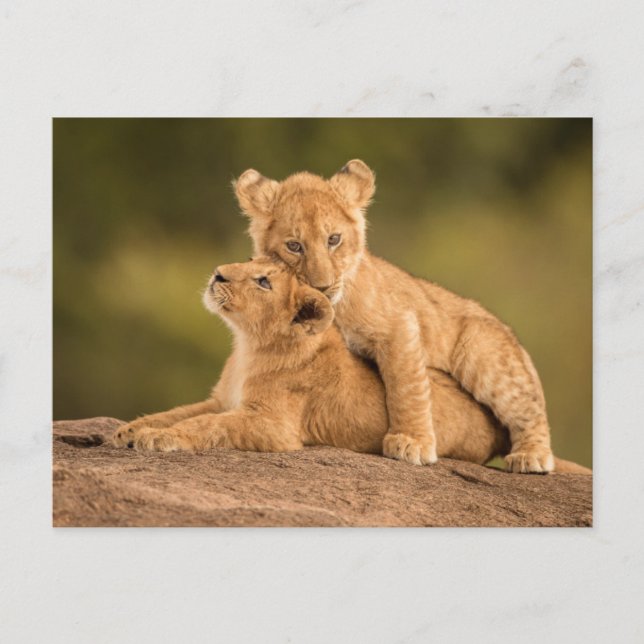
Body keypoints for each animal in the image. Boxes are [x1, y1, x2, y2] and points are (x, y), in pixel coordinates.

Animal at [111, 258, 590, 475]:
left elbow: (205, 426)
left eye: (263, 281)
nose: (217, 274)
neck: (248, 345)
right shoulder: (219, 399)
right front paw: (130, 431)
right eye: (247, 261)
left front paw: (159, 439)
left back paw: (530, 457)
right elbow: (178, 413)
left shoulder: (273, 427)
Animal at [233, 160, 565, 473]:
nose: (322, 286)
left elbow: (406, 387)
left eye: (334, 239)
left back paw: (530, 456)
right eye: (294, 246)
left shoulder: (398, 325)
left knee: (529, 407)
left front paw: (411, 442)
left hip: (482, 351)